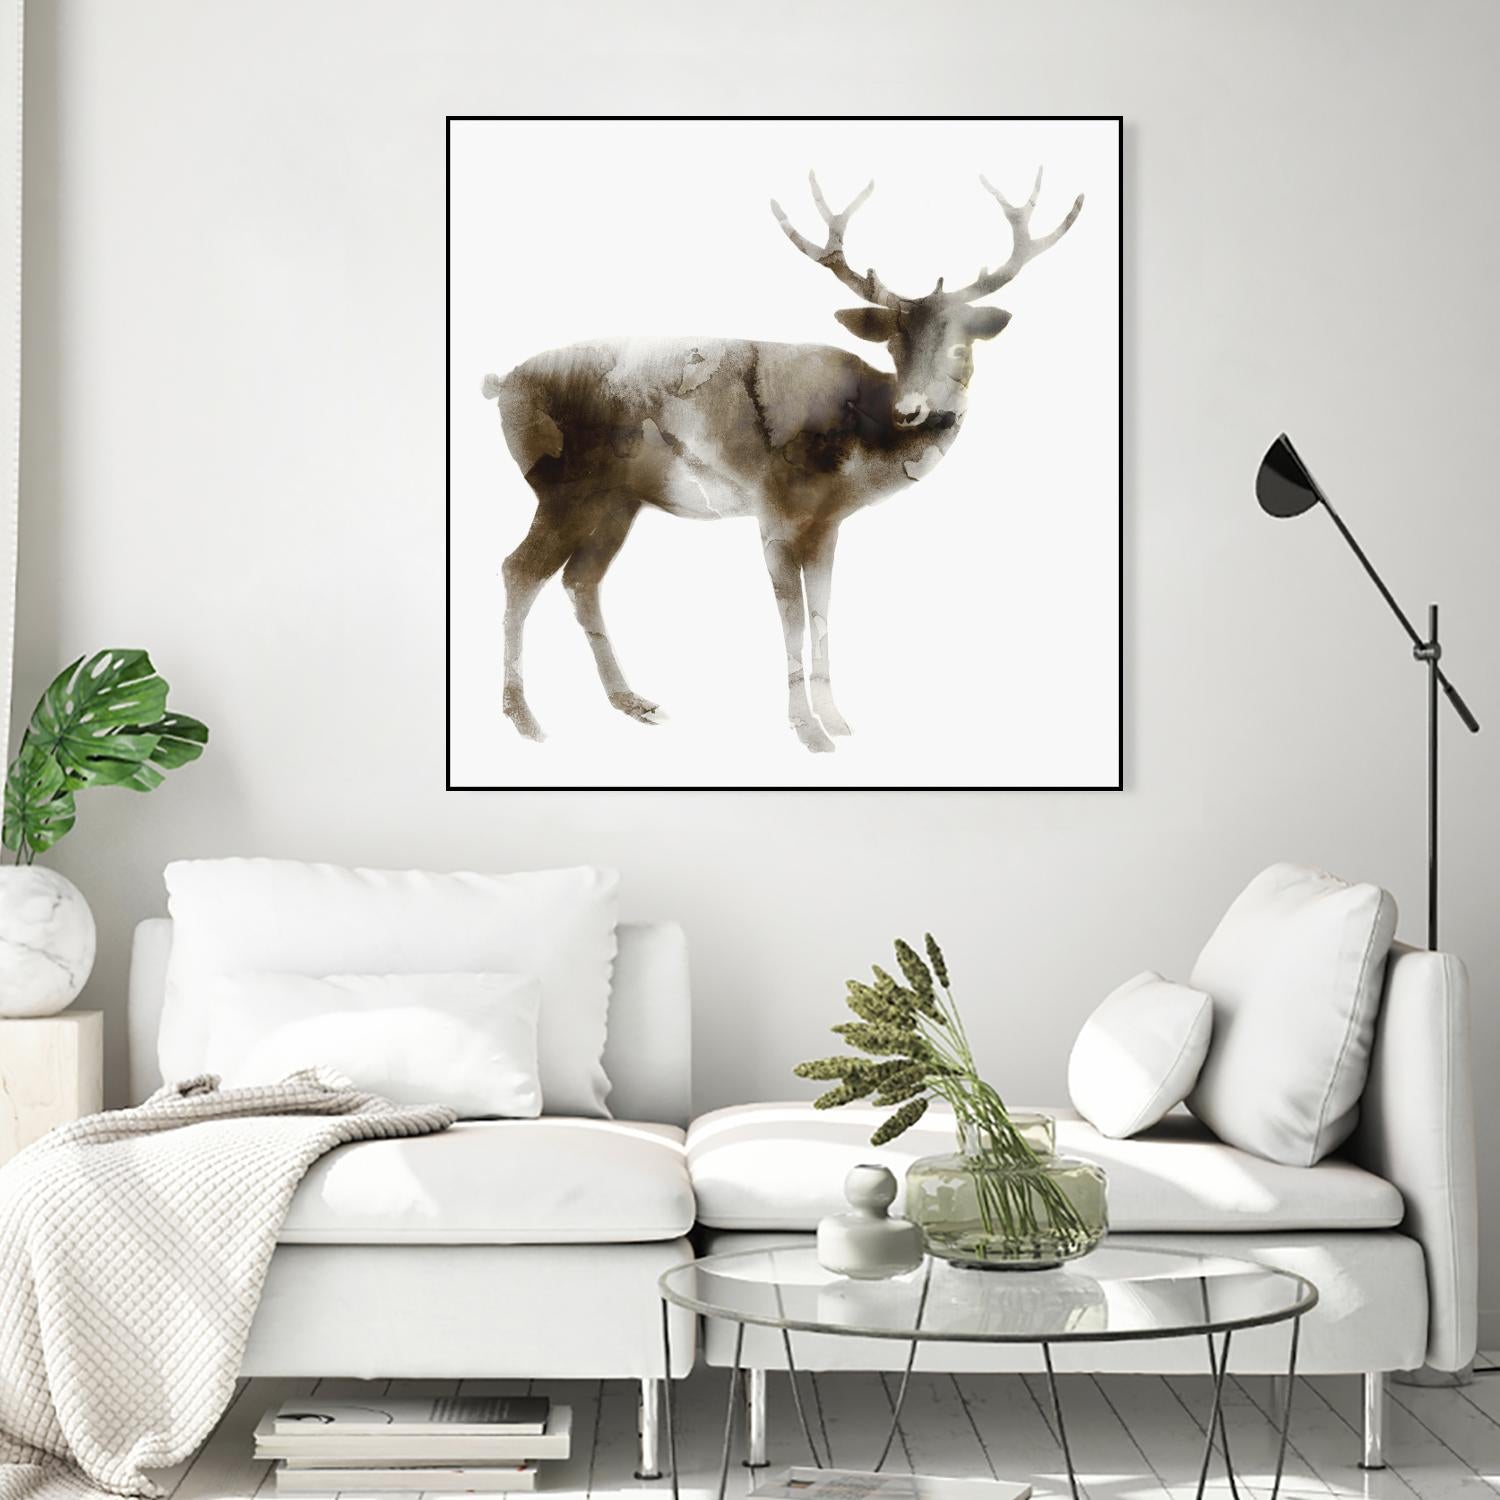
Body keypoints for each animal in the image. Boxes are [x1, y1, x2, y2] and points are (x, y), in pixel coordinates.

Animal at [481, 168, 1084, 753]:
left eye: (961, 345)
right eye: (893, 345)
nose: (912, 410)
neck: (858, 450)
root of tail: (502, 384)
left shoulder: (827, 525)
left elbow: (821, 613)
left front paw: (836, 720)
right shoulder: (774, 512)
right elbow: (791, 619)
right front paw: (808, 731)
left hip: (617, 502)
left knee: (581, 580)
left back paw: (632, 701)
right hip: (563, 488)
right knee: (519, 569)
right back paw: (524, 718)